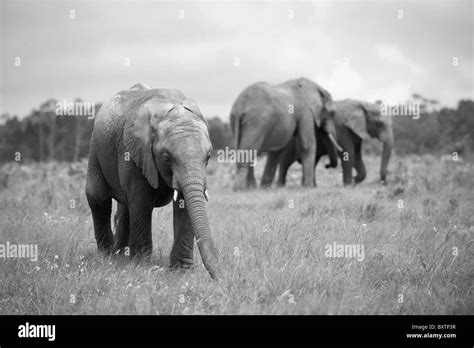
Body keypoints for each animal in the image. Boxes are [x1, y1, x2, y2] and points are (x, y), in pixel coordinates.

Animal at [86, 84, 219, 280]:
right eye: (166, 157)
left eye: (208, 157)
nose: (220, 279)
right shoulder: (132, 151)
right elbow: (142, 201)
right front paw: (142, 266)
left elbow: (184, 204)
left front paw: (181, 272)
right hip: (96, 148)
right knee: (98, 197)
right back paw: (107, 257)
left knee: (125, 207)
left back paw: (121, 256)